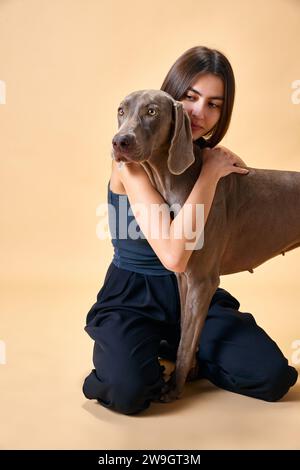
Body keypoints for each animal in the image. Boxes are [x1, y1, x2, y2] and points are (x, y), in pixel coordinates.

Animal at [110, 90, 300, 402]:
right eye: (121, 110)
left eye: (152, 111)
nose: (119, 141)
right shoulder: (184, 276)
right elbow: (187, 330)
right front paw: (192, 373)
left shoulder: (202, 279)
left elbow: (186, 340)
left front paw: (175, 388)